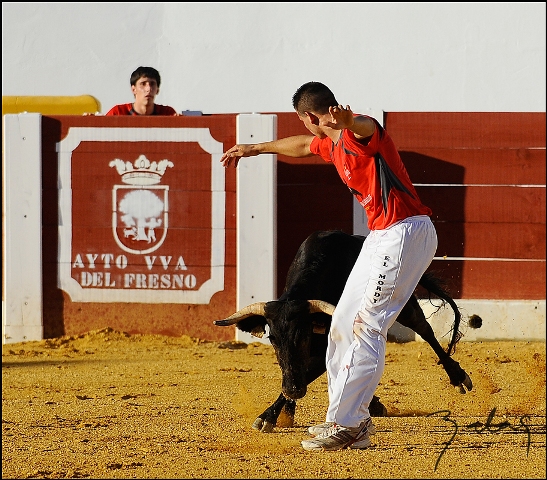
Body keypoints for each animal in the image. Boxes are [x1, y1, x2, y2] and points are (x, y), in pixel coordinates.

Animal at [216, 231, 474, 434]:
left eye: (304, 335)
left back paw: (457, 377)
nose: (293, 389)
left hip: (404, 303)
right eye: (272, 339)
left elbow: (310, 372)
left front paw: (267, 416)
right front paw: (284, 412)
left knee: (425, 330)